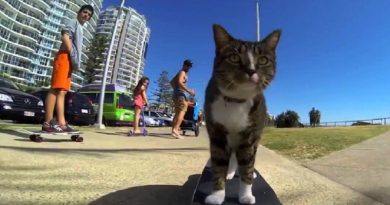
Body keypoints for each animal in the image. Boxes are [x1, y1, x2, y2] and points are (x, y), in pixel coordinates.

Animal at [204, 24, 280, 204]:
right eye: (234, 57)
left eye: (263, 60)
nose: (251, 70)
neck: (236, 100)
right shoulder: (217, 133)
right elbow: (219, 164)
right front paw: (217, 195)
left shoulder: (248, 135)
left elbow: (246, 165)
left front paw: (245, 195)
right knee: (231, 157)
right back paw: (229, 172)